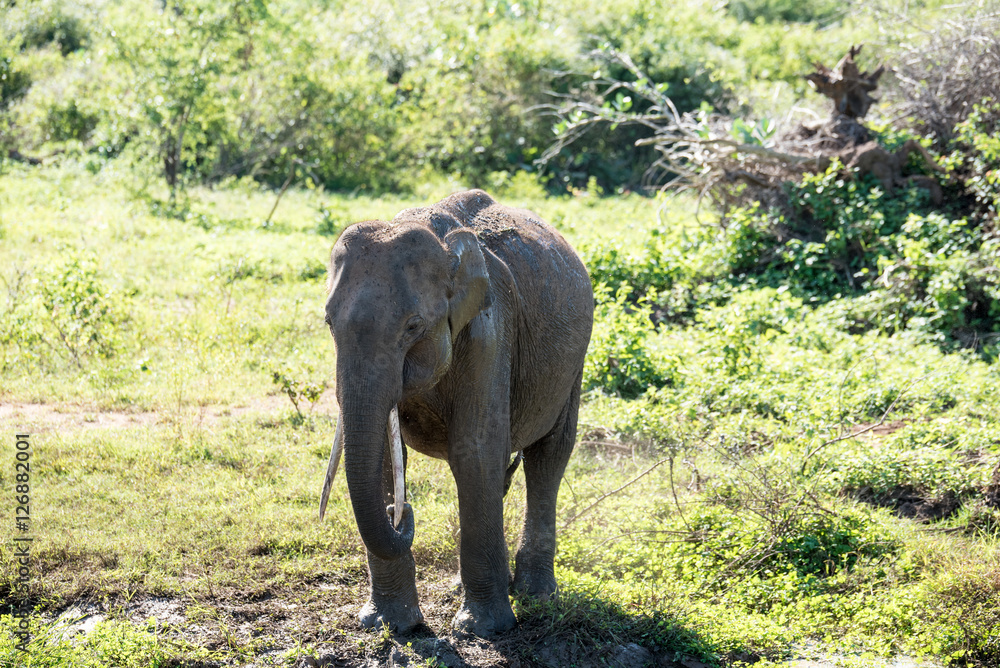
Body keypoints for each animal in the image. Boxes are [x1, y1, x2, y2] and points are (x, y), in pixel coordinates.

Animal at [318, 189, 594, 637]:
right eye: (328, 322)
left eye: (413, 326)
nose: (399, 513)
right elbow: (385, 457)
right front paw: (391, 626)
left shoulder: (490, 330)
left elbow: (475, 451)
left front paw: (483, 630)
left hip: (575, 361)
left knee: (549, 455)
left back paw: (536, 595)